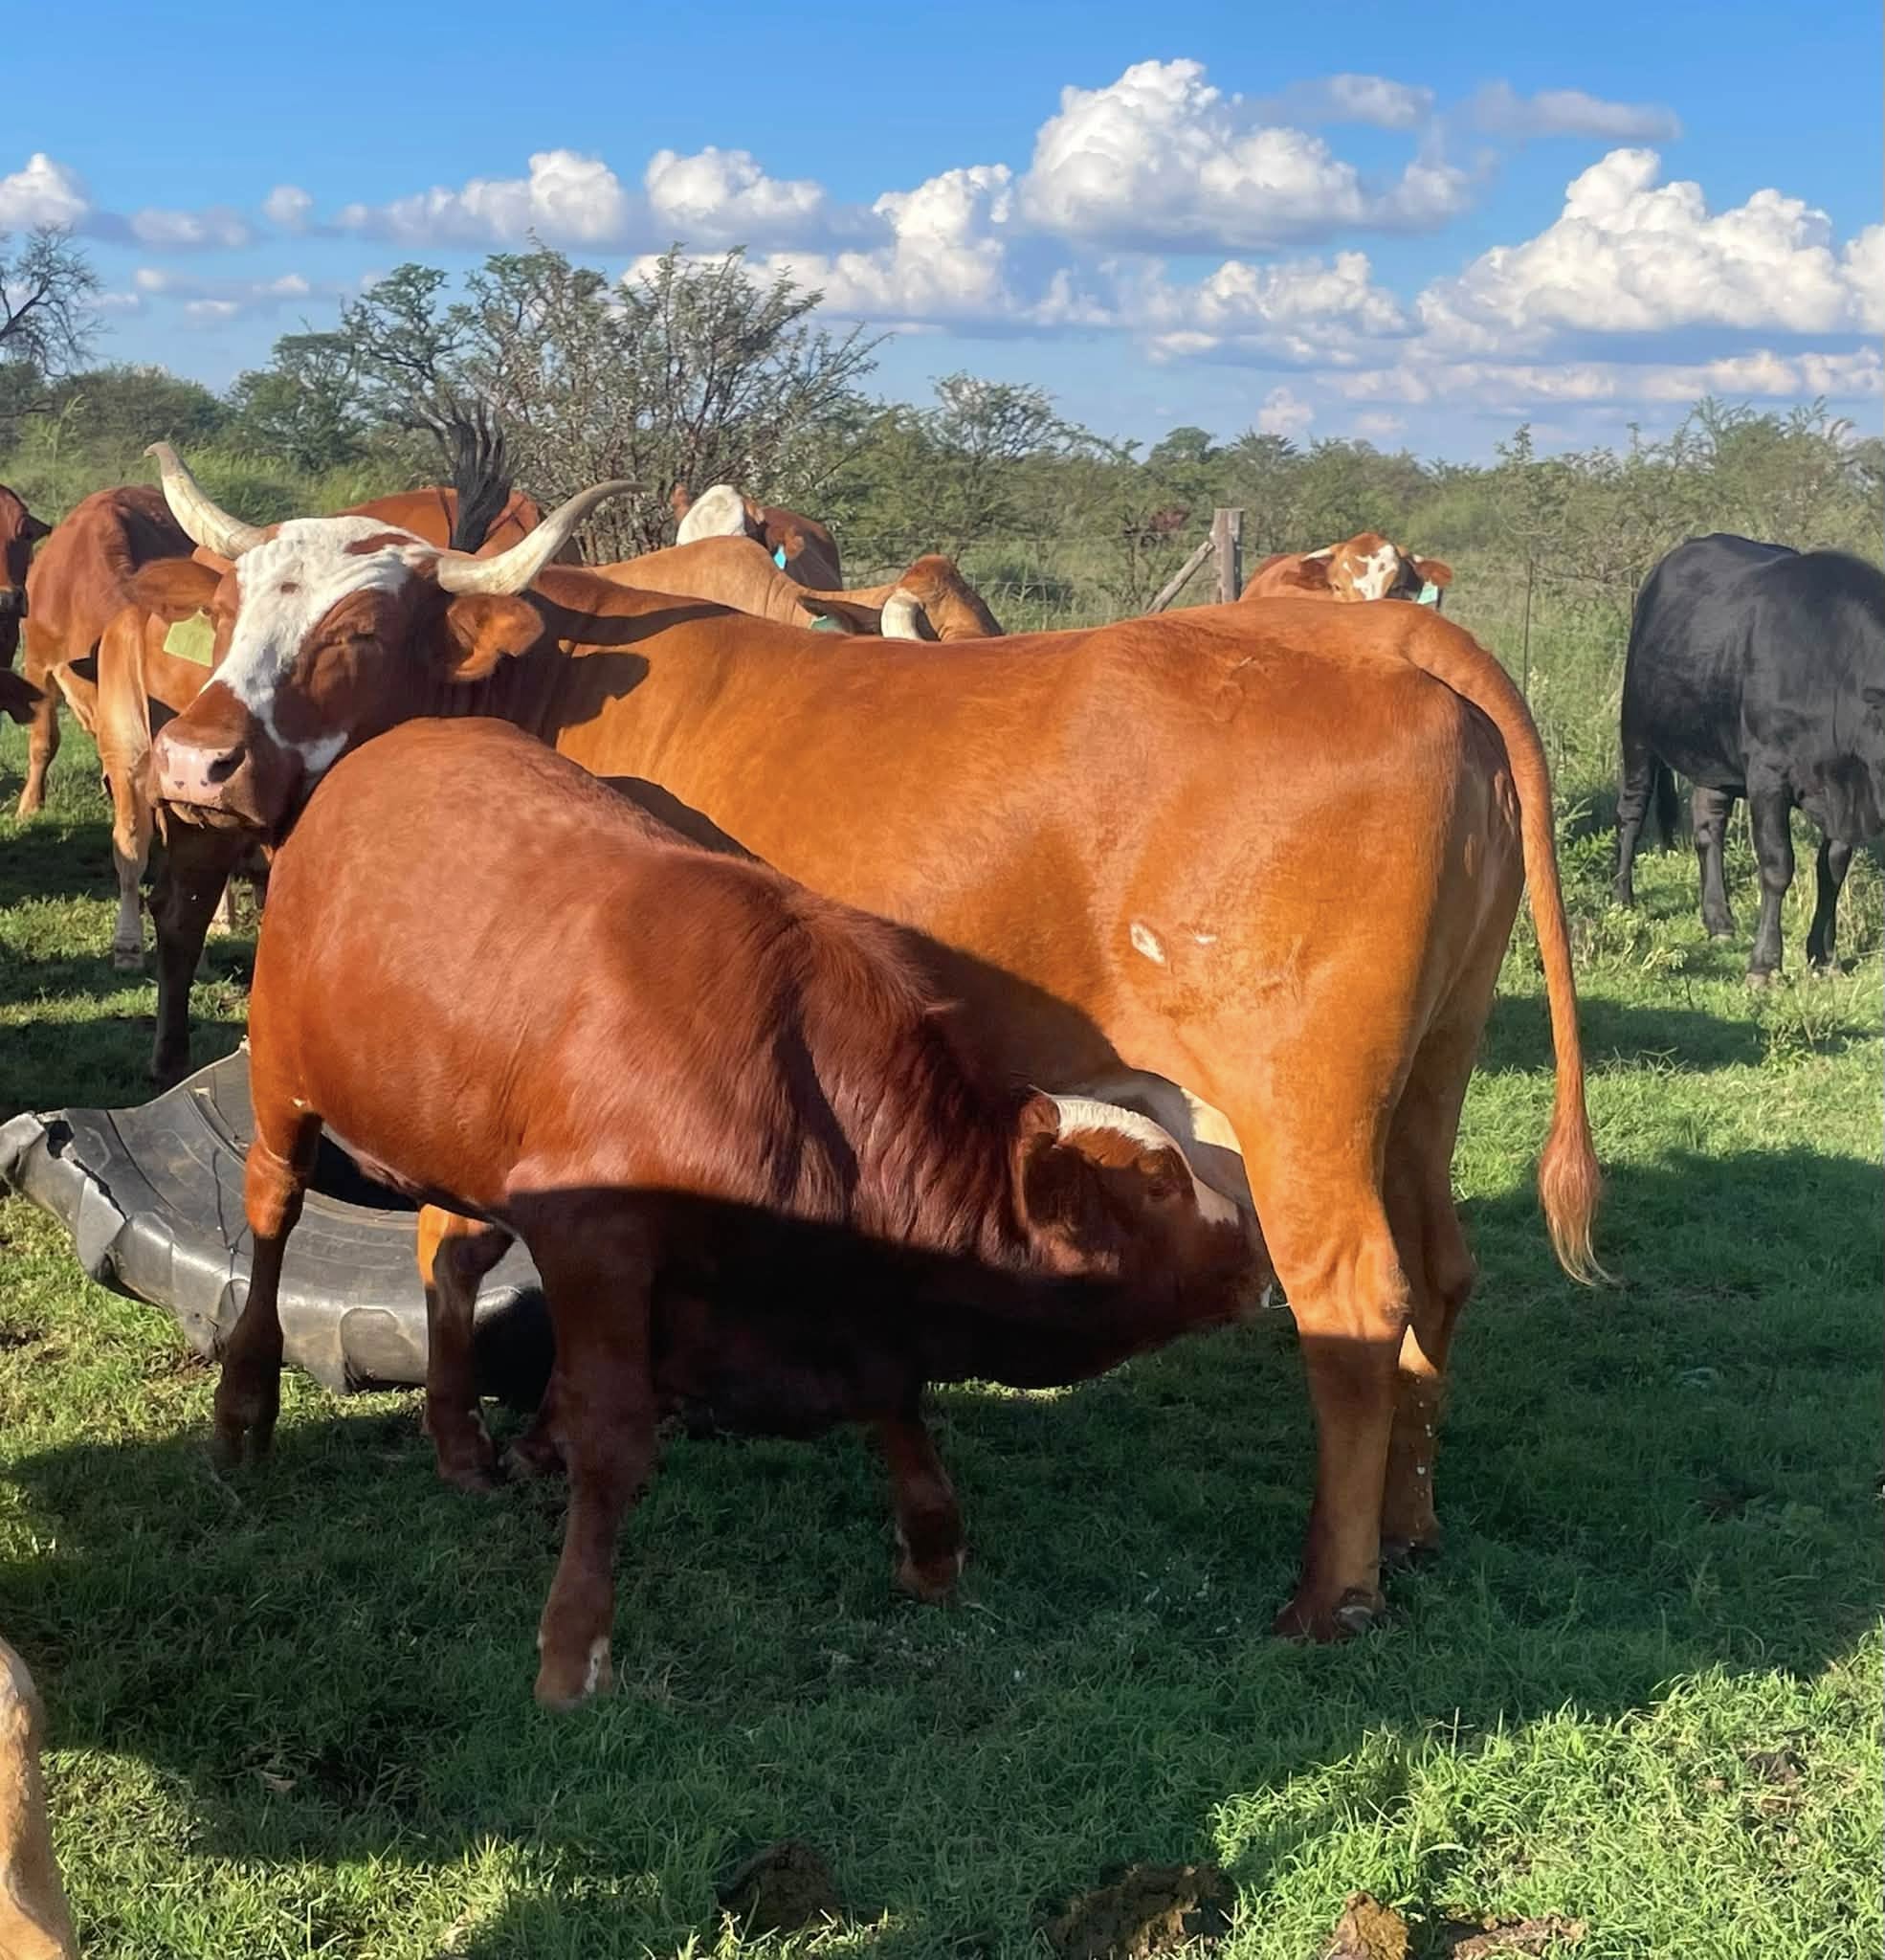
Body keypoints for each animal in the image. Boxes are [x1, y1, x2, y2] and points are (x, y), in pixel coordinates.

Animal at [218, 715, 1259, 1704]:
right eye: (1160, 1183)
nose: (1253, 1249)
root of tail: (391, 746)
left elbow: (894, 1399)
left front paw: (931, 1544)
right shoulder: (597, 1238)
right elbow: (613, 1437)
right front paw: (573, 1648)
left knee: (448, 1256)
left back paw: (459, 1439)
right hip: (281, 1077)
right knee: (272, 1209)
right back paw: (243, 1413)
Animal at [1614, 532, 1885, 982]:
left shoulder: (1846, 796)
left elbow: (1832, 866)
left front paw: (1824, 955)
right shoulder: (1768, 776)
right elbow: (1778, 865)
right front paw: (1765, 963)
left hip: (1711, 758)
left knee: (1708, 828)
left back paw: (1719, 921)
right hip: (1636, 729)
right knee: (1631, 813)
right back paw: (1622, 899)